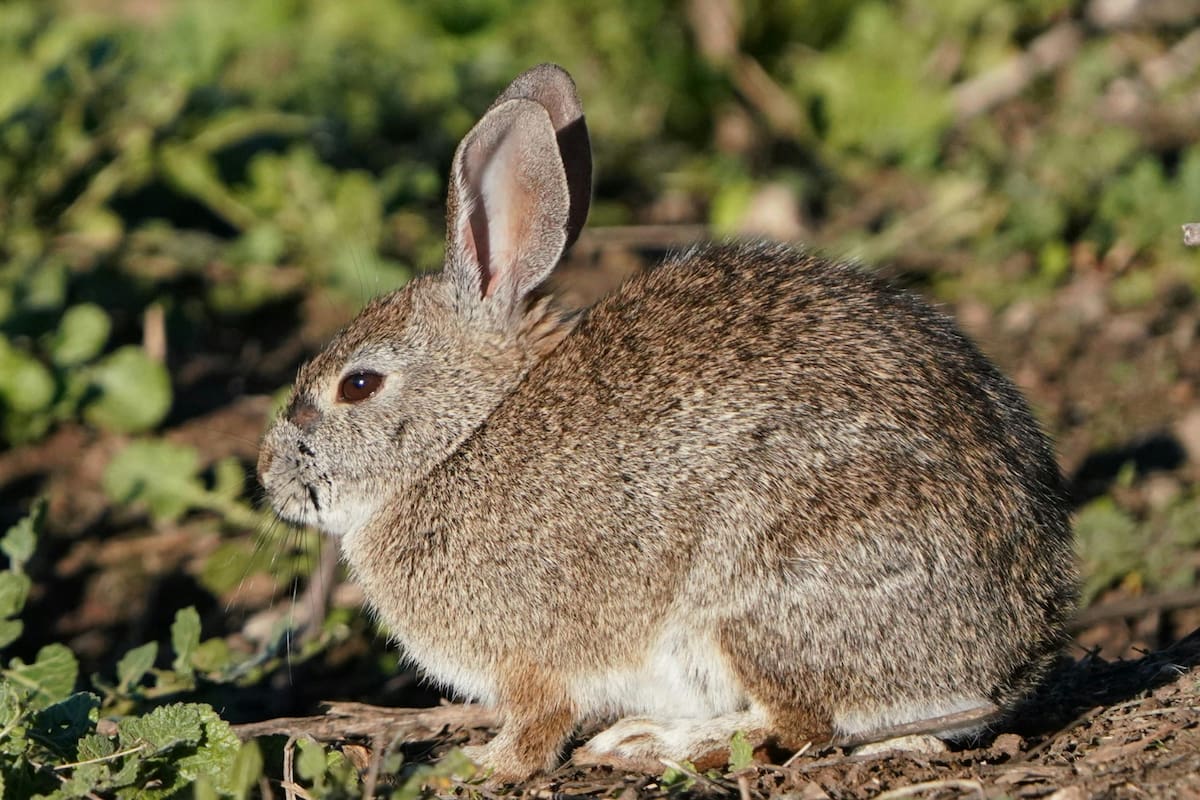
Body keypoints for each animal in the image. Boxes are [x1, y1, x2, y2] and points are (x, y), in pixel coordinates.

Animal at [257, 63, 1078, 782]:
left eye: (359, 384)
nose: (268, 474)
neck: (463, 436)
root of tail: (1014, 647)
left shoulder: (533, 662)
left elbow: (536, 727)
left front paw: (478, 766)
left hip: (759, 600)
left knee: (798, 724)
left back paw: (652, 744)